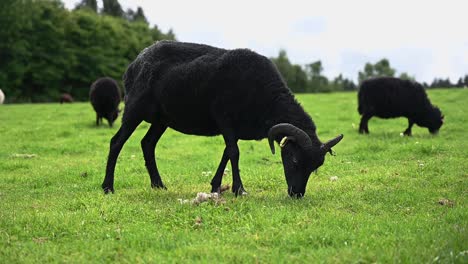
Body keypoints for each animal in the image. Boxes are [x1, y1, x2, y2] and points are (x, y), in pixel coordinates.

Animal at [101, 40, 344, 198]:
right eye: (294, 160)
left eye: (316, 166)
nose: (297, 194)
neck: (265, 97)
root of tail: (134, 64)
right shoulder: (225, 118)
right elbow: (234, 153)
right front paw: (239, 190)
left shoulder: (234, 127)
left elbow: (227, 152)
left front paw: (215, 186)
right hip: (134, 109)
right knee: (117, 142)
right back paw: (108, 187)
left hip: (162, 118)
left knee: (147, 143)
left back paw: (158, 185)